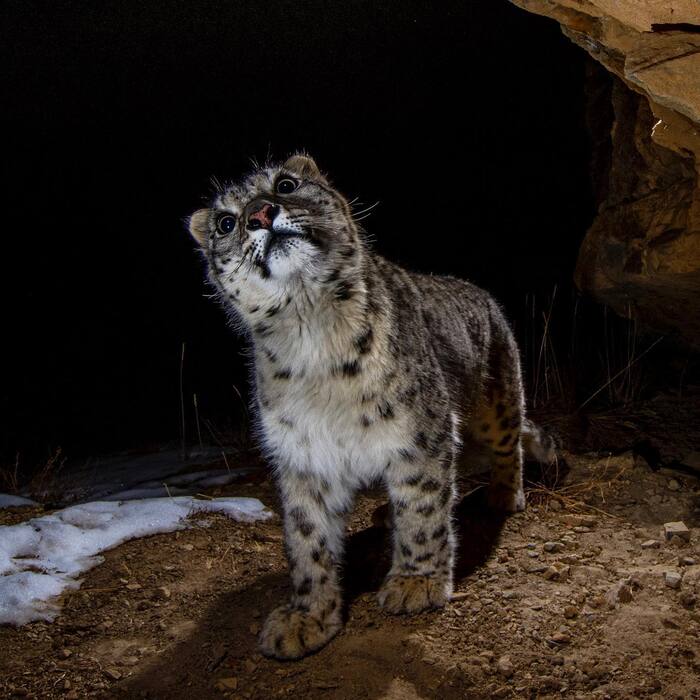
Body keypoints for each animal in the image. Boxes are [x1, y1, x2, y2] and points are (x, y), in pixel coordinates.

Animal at [187, 154, 556, 660]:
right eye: (226, 222)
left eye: (286, 184)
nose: (261, 213)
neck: (312, 335)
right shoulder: (302, 455)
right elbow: (307, 539)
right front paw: (307, 617)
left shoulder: (421, 432)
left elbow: (422, 508)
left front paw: (416, 583)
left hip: (498, 400)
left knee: (509, 443)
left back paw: (504, 495)